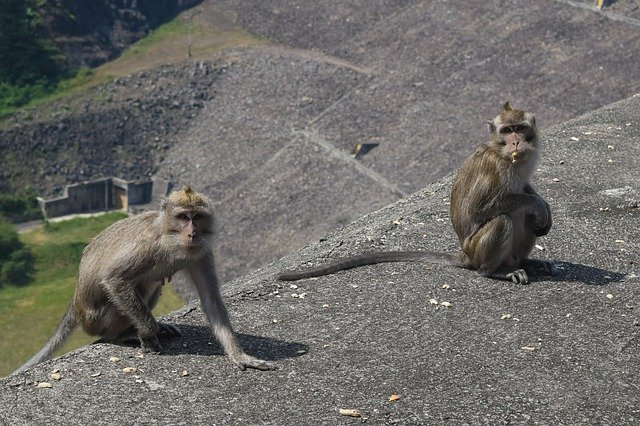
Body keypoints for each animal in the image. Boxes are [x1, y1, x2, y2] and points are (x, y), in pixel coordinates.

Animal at [14, 186, 276, 372]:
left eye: (198, 217)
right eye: (183, 217)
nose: (192, 233)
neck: (171, 240)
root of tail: (76, 304)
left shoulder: (202, 252)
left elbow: (211, 299)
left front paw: (239, 355)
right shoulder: (149, 247)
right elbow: (115, 279)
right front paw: (149, 334)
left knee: (152, 286)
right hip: (97, 320)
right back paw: (124, 335)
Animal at [280, 101, 556, 284]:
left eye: (519, 128)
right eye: (506, 131)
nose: (516, 142)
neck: (506, 155)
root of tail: (465, 255)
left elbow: (525, 191)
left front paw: (544, 207)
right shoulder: (495, 166)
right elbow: (480, 207)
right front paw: (537, 204)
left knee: (525, 217)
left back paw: (526, 262)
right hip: (476, 250)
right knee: (503, 220)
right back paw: (495, 270)